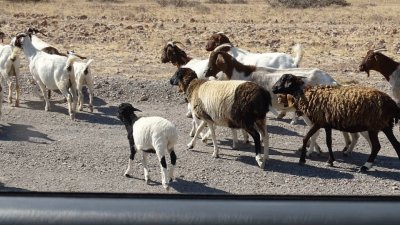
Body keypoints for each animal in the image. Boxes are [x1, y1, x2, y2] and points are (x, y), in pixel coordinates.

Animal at [270, 73, 400, 171]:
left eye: (283, 79)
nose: (273, 88)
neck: (306, 94)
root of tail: (391, 103)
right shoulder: (327, 124)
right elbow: (329, 142)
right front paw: (330, 161)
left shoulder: (318, 122)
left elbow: (306, 138)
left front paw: (302, 159)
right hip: (385, 125)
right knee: (396, 144)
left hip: (374, 126)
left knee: (376, 146)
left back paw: (365, 166)